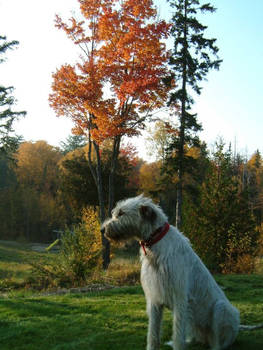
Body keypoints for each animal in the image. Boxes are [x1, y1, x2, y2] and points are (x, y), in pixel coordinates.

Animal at [101, 196, 243, 348]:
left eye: (121, 213)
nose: (102, 229)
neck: (155, 245)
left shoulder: (180, 297)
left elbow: (178, 331)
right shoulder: (154, 297)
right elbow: (153, 331)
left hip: (222, 310)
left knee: (218, 340)